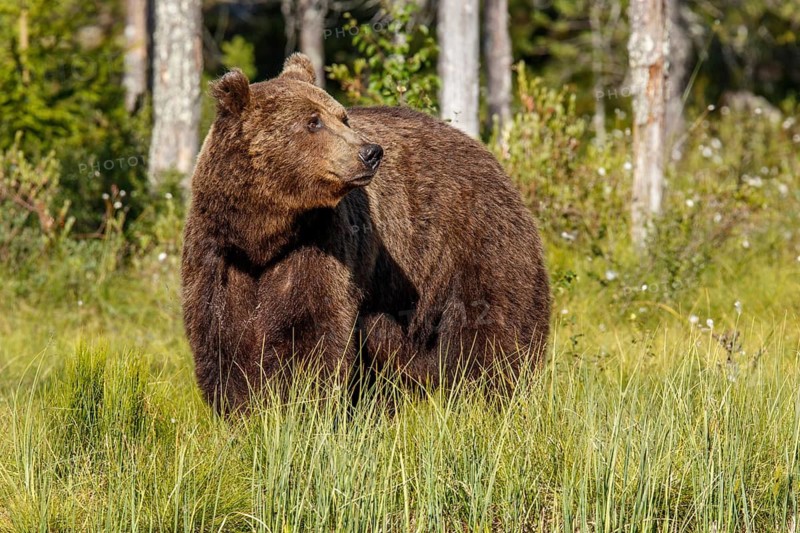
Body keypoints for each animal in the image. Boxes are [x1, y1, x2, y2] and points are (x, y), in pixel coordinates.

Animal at [182, 53, 551, 415]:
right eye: (313, 122)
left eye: (341, 117)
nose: (370, 152)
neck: (262, 234)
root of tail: (485, 152)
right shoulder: (218, 252)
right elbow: (222, 334)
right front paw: (243, 408)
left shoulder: (320, 241)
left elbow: (312, 327)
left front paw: (300, 404)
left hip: (476, 242)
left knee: (491, 325)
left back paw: (492, 394)